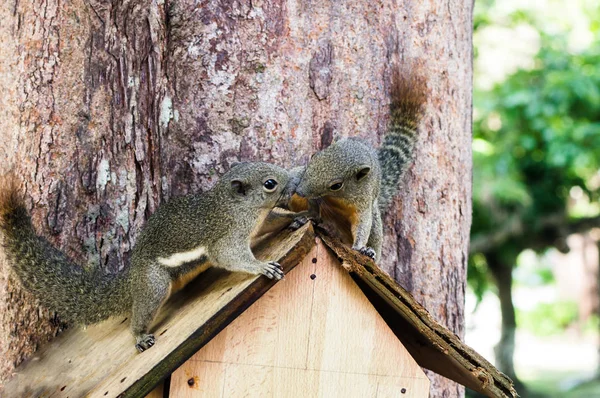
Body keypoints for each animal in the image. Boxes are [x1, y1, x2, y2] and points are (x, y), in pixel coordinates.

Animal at [292, 69, 426, 262]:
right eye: (314, 155)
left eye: (336, 185)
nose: (300, 190)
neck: (340, 198)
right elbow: (313, 205)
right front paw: (308, 215)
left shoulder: (364, 202)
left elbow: (363, 224)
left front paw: (359, 247)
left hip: (375, 217)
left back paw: (371, 253)